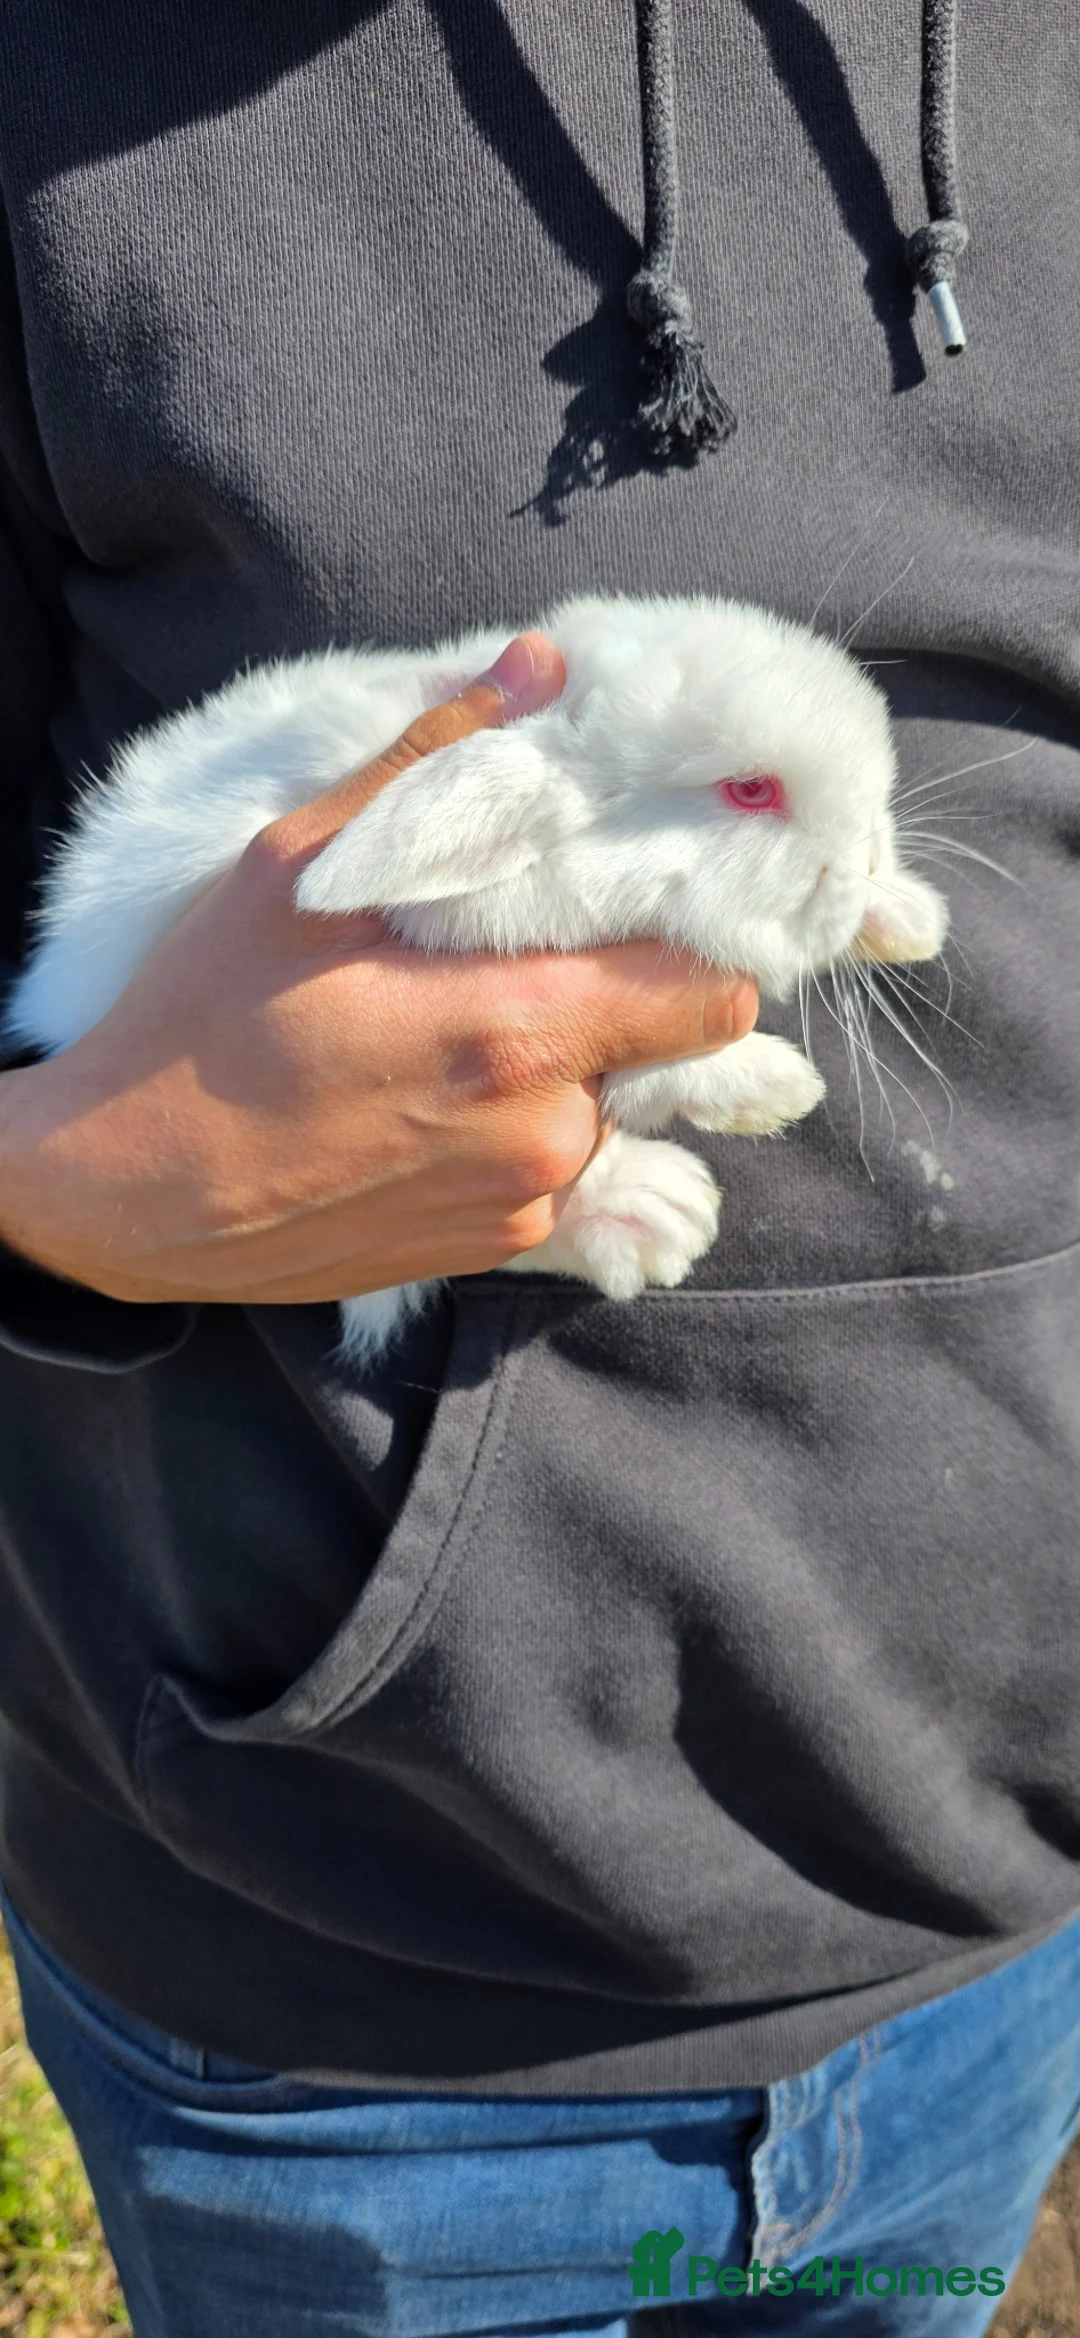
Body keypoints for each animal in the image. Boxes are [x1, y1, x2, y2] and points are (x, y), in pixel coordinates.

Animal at [7, 593, 949, 1362]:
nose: (867, 853)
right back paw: (662, 1215)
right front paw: (776, 1086)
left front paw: (908, 919)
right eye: (751, 790)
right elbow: (662, 1069)